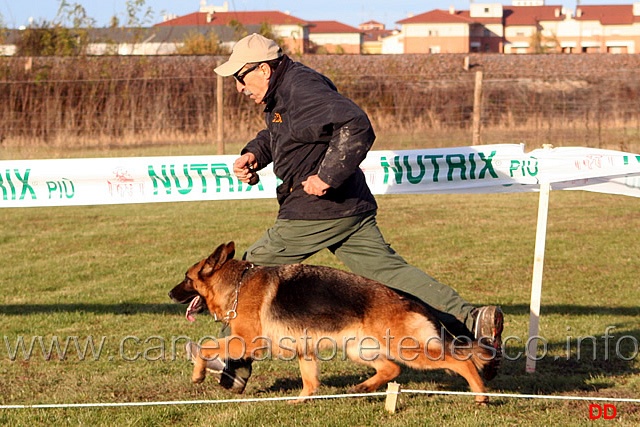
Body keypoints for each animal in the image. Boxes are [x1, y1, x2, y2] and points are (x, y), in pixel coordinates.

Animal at [168, 242, 492, 402]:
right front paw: (300, 402)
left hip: (407, 349)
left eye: (186, 278)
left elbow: (206, 346)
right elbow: (310, 382)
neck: (237, 284)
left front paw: (197, 373)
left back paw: (481, 396)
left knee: (460, 361)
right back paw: (363, 388)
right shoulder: (304, 350)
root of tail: (409, 299)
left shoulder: (245, 342)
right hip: (359, 350)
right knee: (391, 369)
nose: (170, 294)